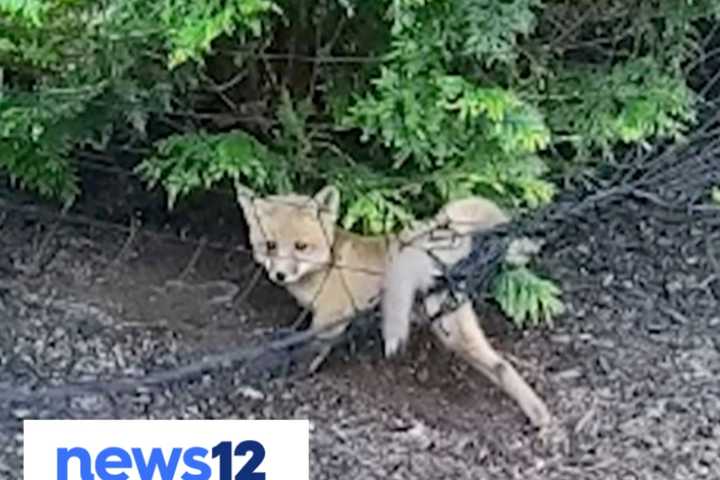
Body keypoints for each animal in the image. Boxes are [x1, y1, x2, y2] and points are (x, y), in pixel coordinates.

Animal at [235, 183, 552, 428]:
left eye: (301, 247)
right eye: (270, 245)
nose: (280, 275)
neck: (329, 265)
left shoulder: (332, 318)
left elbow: (311, 352)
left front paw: (295, 376)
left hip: (449, 326)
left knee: (500, 364)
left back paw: (539, 414)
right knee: (498, 365)